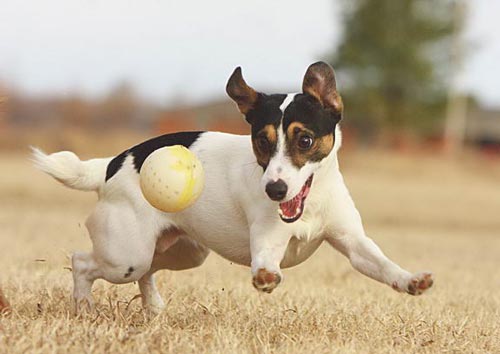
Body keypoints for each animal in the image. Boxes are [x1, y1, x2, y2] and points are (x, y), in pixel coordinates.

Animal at [33, 62, 434, 314]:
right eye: (261, 141)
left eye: (304, 140)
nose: (274, 189)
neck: (310, 202)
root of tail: (111, 163)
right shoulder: (268, 241)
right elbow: (266, 264)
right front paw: (266, 278)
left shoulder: (353, 243)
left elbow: (382, 266)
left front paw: (410, 280)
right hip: (125, 256)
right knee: (82, 262)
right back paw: (83, 307)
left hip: (181, 252)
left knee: (147, 271)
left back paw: (154, 308)